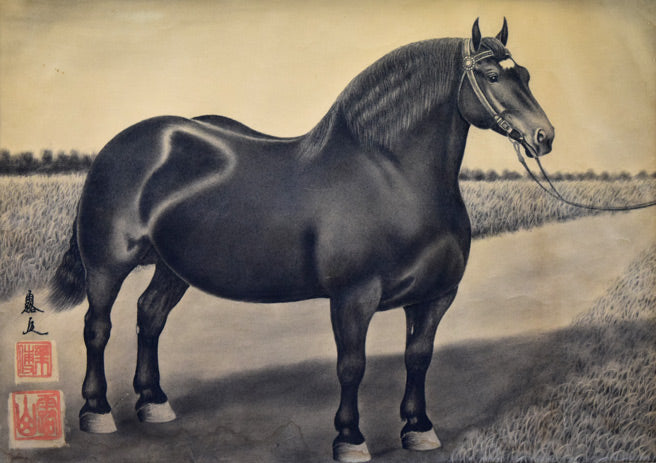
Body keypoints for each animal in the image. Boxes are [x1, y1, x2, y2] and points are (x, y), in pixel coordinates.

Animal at [49, 18, 553, 462]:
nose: (544, 137)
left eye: (526, 75)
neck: (392, 176)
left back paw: (153, 402)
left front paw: (419, 429)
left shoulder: (435, 297)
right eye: (492, 75)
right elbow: (352, 365)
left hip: (174, 269)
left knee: (150, 316)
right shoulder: (353, 298)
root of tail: (122, 145)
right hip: (106, 265)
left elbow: (418, 358)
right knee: (97, 327)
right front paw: (350, 439)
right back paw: (97, 411)